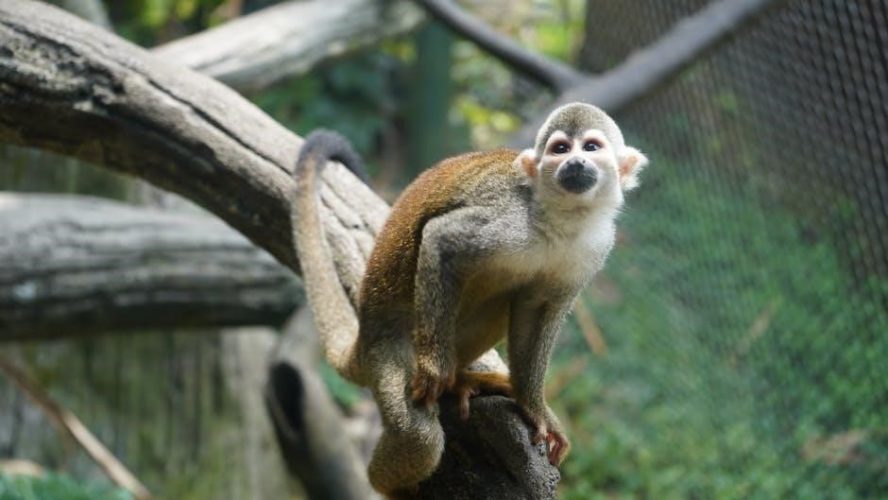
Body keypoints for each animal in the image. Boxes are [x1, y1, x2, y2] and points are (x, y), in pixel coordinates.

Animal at [290, 103, 648, 497]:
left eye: (591, 147)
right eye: (560, 149)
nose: (575, 163)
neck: (561, 219)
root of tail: (365, 335)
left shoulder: (594, 248)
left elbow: (537, 308)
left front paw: (533, 406)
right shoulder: (509, 221)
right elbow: (440, 238)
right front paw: (435, 370)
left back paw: (463, 378)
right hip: (387, 352)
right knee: (418, 436)